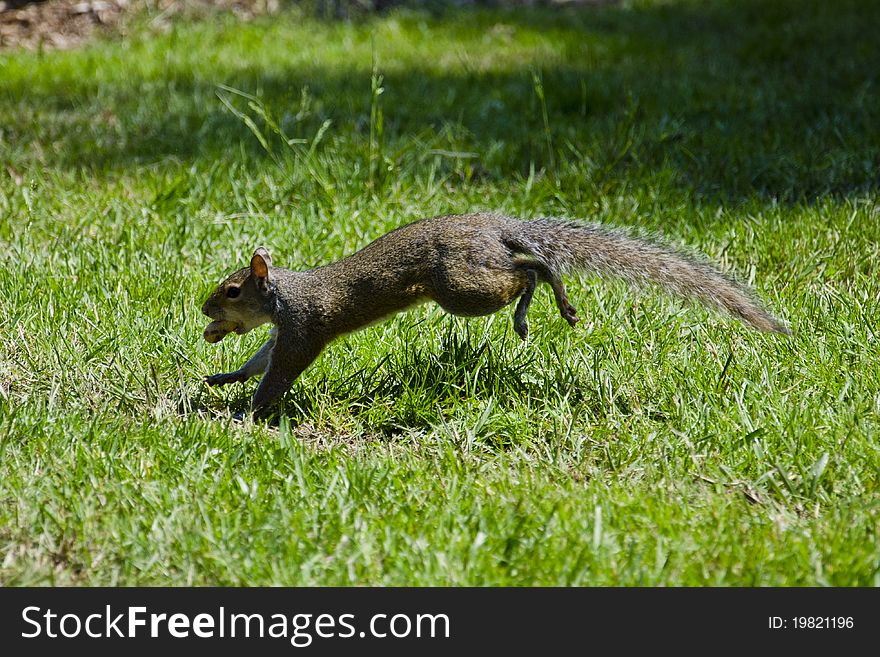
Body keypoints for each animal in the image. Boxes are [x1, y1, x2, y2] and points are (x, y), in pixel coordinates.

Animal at [201, 211, 792, 416]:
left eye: (231, 291)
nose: (204, 313)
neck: (282, 295)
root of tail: (496, 227)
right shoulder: (282, 332)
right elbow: (260, 359)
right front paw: (225, 377)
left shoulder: (302, 329)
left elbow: (279, 373)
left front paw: (247, 414)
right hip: (471, 281)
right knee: (526, 265)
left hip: (462, 290)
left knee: (529, 270)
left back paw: (543, 303)